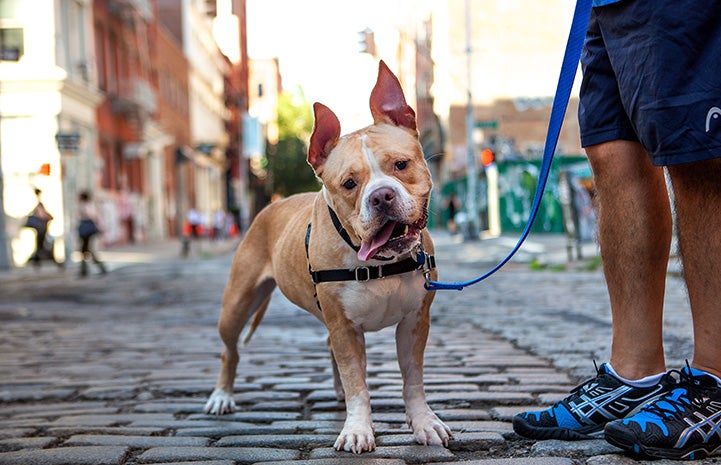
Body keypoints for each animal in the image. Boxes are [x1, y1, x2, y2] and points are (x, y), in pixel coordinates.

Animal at [202, 59, 450, 452]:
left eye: (401, 164)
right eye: (349, 184)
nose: (381, 196)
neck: (377, 262)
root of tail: (270, 206)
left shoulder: (414, 323)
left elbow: (412, 380)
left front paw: (424, 423)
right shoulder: (345, 327)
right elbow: (357, 384)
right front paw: (358, 429)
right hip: (237, 304)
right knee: (230, 350)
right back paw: (222, 396)